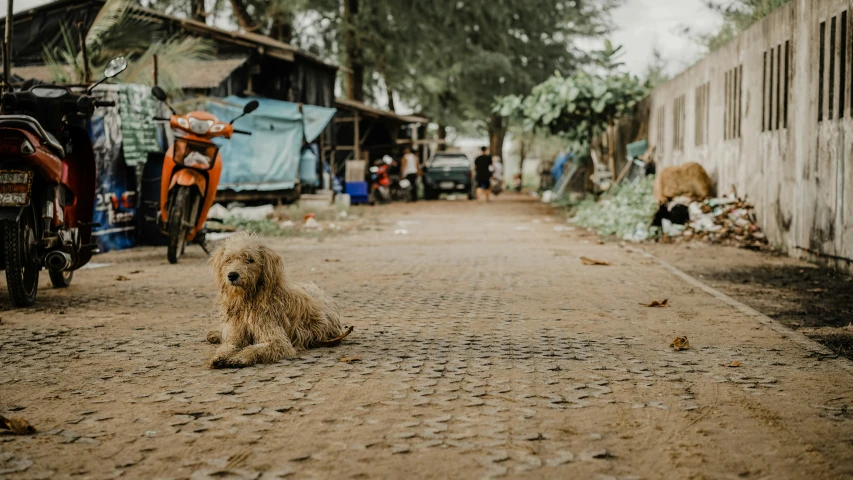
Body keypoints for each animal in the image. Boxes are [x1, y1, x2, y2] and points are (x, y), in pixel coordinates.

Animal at [206, 232, 350, 368]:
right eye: (228, 260)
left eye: (250, 260)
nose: (232, 275)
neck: (248, 299)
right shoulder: (235, 335)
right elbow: (228, 345)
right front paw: (220, 356)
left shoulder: (278, 341)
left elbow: (254, 349)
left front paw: (239, 357)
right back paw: (215, 334)